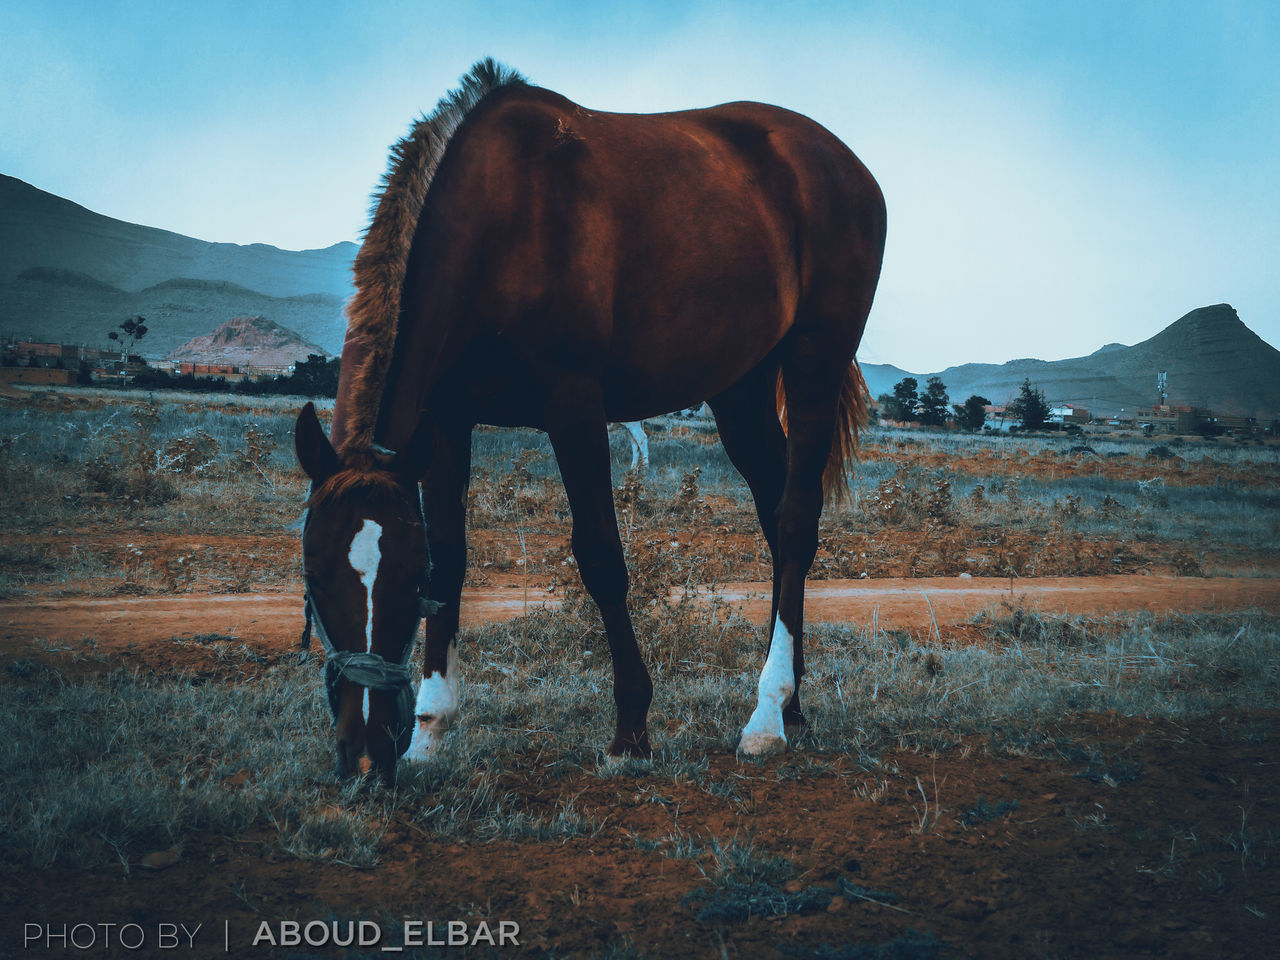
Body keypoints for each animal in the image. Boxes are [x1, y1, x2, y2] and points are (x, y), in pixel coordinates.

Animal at [294, 58, 885, 788]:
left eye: (404, 576)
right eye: (315, 576)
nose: (366, 754)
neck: (498, 219)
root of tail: (844, 164)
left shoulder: (572, 403)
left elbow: (601, 554)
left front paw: (631, 727)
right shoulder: (446, 423)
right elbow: (455, 558)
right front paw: (431, 732)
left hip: (812, 364)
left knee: (797, 521)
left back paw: (768, 717)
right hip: (740, 391)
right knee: (777, 521)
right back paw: (794, 702)